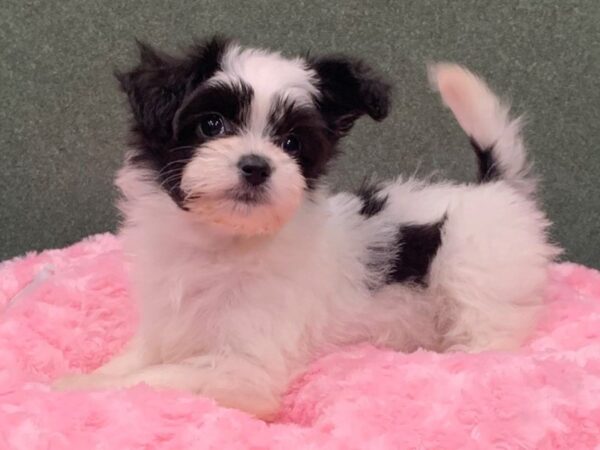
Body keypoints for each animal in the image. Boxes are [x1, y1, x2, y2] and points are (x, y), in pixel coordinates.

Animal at [54, 37, 560, 420]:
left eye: (292, 142)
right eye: (211, 124)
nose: (257, 166)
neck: (224, 243)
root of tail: (494, 186)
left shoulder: (242, 370)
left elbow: (149, 381)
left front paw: (70, 391)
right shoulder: (165, 327)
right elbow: (132, 362)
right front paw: (85, 377)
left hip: (476, 274)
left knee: (488, 333)